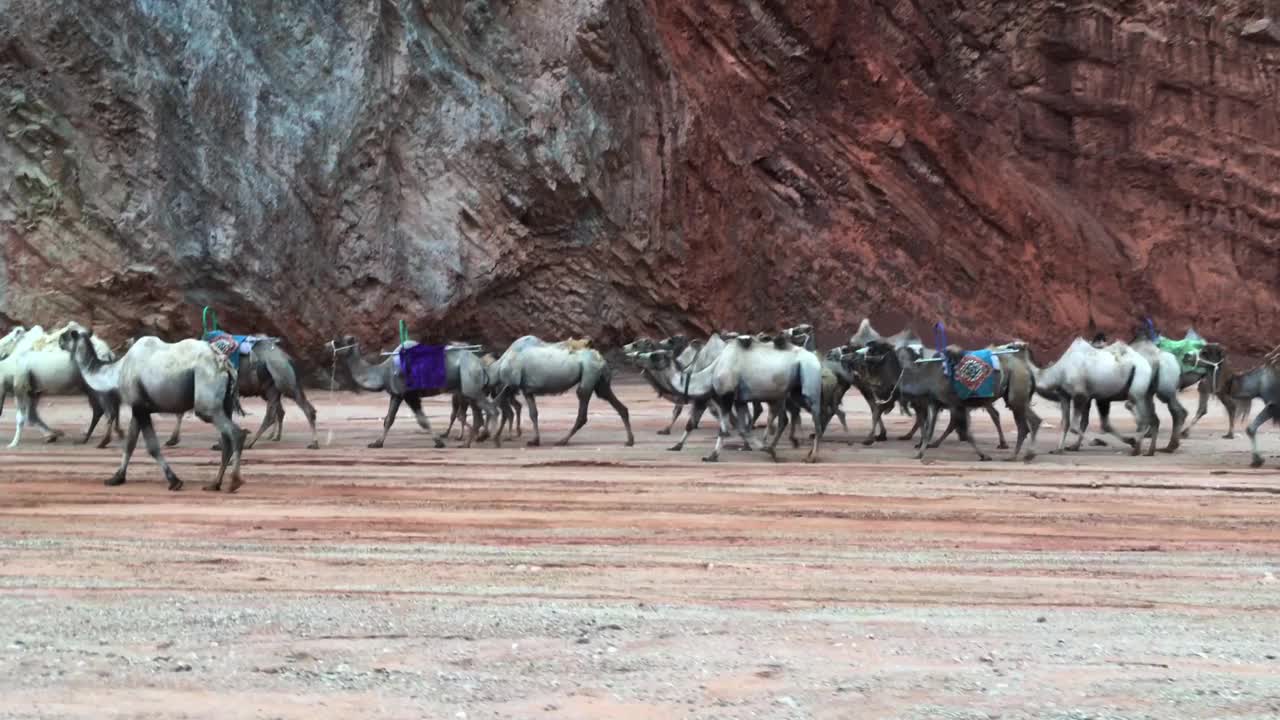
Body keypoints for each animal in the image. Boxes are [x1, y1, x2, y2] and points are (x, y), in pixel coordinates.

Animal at [163, 338, 320, 448]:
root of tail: (287, 358)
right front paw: (172, 440)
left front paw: (173, 440)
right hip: (271, 388)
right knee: (278, 411)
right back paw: (273, 437)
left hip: (284, 380)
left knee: (302, 409)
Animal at [327, 333, 496, 445]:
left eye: (337, 341)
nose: (326, 345)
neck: (383, 371)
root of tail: (481, 364)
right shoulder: (396, 394)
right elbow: (388, 419)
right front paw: (377, 443)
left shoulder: (409, 394)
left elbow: (422, 420)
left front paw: (438, 442)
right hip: (468, 389)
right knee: (477, 413)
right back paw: (476, 439)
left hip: (470, 382)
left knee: (488, 410)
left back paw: (487, 438)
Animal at [488, 335, 629, 445]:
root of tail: (601, 359)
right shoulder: (527, 390)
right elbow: (533, 413)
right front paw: (535, 440)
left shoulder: (512, 383)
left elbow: (495, 404)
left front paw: (489, 436)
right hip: (600, 381)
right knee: (614, 402)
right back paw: (630, 440)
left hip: (589, 373)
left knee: (582, 403)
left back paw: (562, 441)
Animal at [1029, 335, 1162, 453]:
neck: (1059, 371)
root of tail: (1148, 363)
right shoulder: (1068, 396)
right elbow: (1070, 423)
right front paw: (1063, 448)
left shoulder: (1081, 395)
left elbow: (1076, 426)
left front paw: (1098, 441)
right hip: (1145, 392)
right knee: (1152, 417)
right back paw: (1148, 447)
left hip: (1138, 383)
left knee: (1142, 414)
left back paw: (1139, 447)